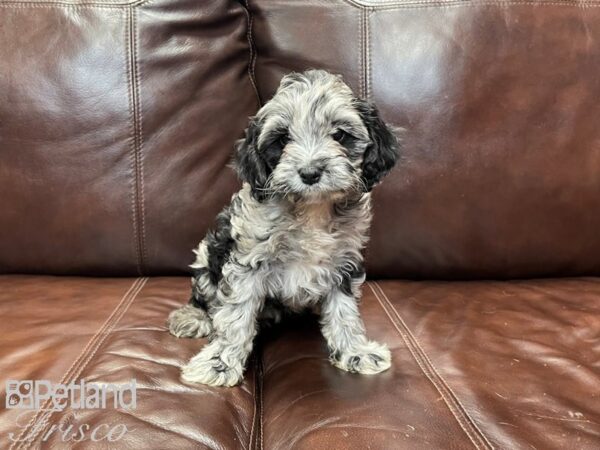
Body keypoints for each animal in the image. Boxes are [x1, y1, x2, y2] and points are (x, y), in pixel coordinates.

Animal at [166, 70, 400, 386]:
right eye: (283, 138)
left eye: (340, 135)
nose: (310, 173)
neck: (311, 209)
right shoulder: (247, 262)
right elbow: (235, 316)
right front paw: (219, 365)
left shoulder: (344, 263)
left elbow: (344, 312)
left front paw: (355, 352)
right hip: (207, 253)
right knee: (205, 295)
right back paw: (193, 317)